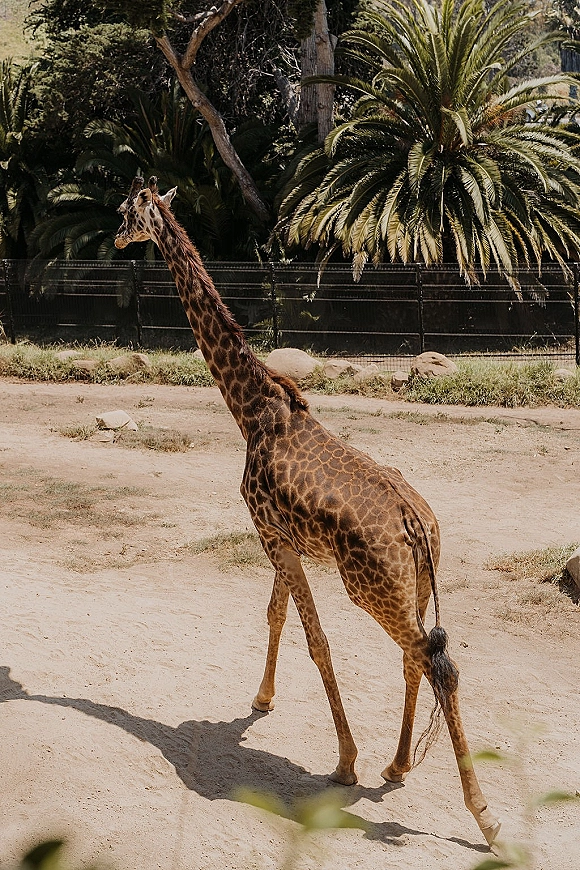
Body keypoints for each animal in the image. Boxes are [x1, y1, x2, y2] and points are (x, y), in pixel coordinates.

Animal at [115, 176, 500, 846]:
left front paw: (344, 761)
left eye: (123, 212)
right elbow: (276, 616)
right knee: (416, 658)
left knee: (438, 663)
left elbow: (314, 638)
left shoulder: (267, 531)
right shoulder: (281, 535)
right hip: (413, 586)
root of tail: (418, 526)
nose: (114, 239)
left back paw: (482, 815)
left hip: (372, 588)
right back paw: (397, 764)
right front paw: (263, 699)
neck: (252, 411)